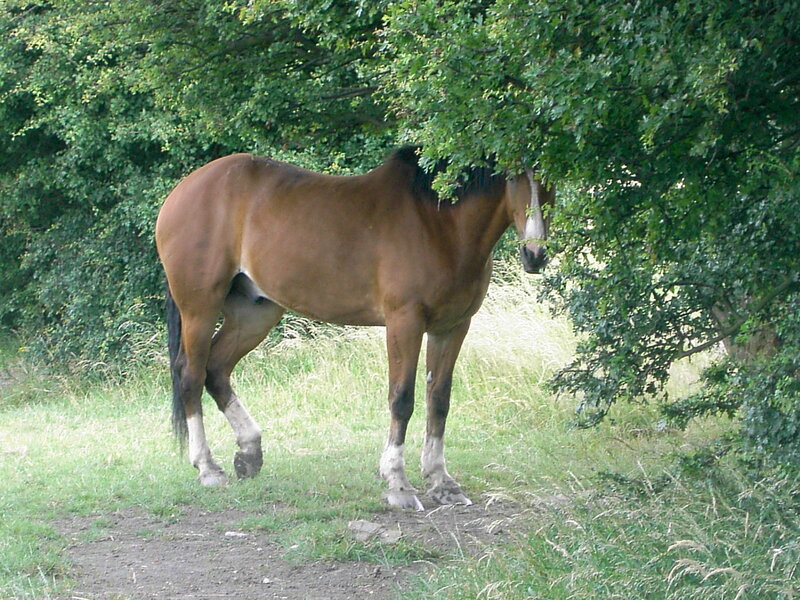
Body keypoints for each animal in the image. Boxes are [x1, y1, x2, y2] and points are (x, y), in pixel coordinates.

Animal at [155, 147, 553, 510]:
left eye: (550, 179)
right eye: (513, 176)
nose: (535, 255)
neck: (439, 223)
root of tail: (182, 191)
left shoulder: (453, 326)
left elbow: (439, 399)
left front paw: (441, 482)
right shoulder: (404, 322)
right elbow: (402, 399)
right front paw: (398, 483)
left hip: (254, 314)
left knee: (217, 369)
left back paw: (249, 453)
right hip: (200, 309)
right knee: (191, 375)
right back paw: (208, 468)